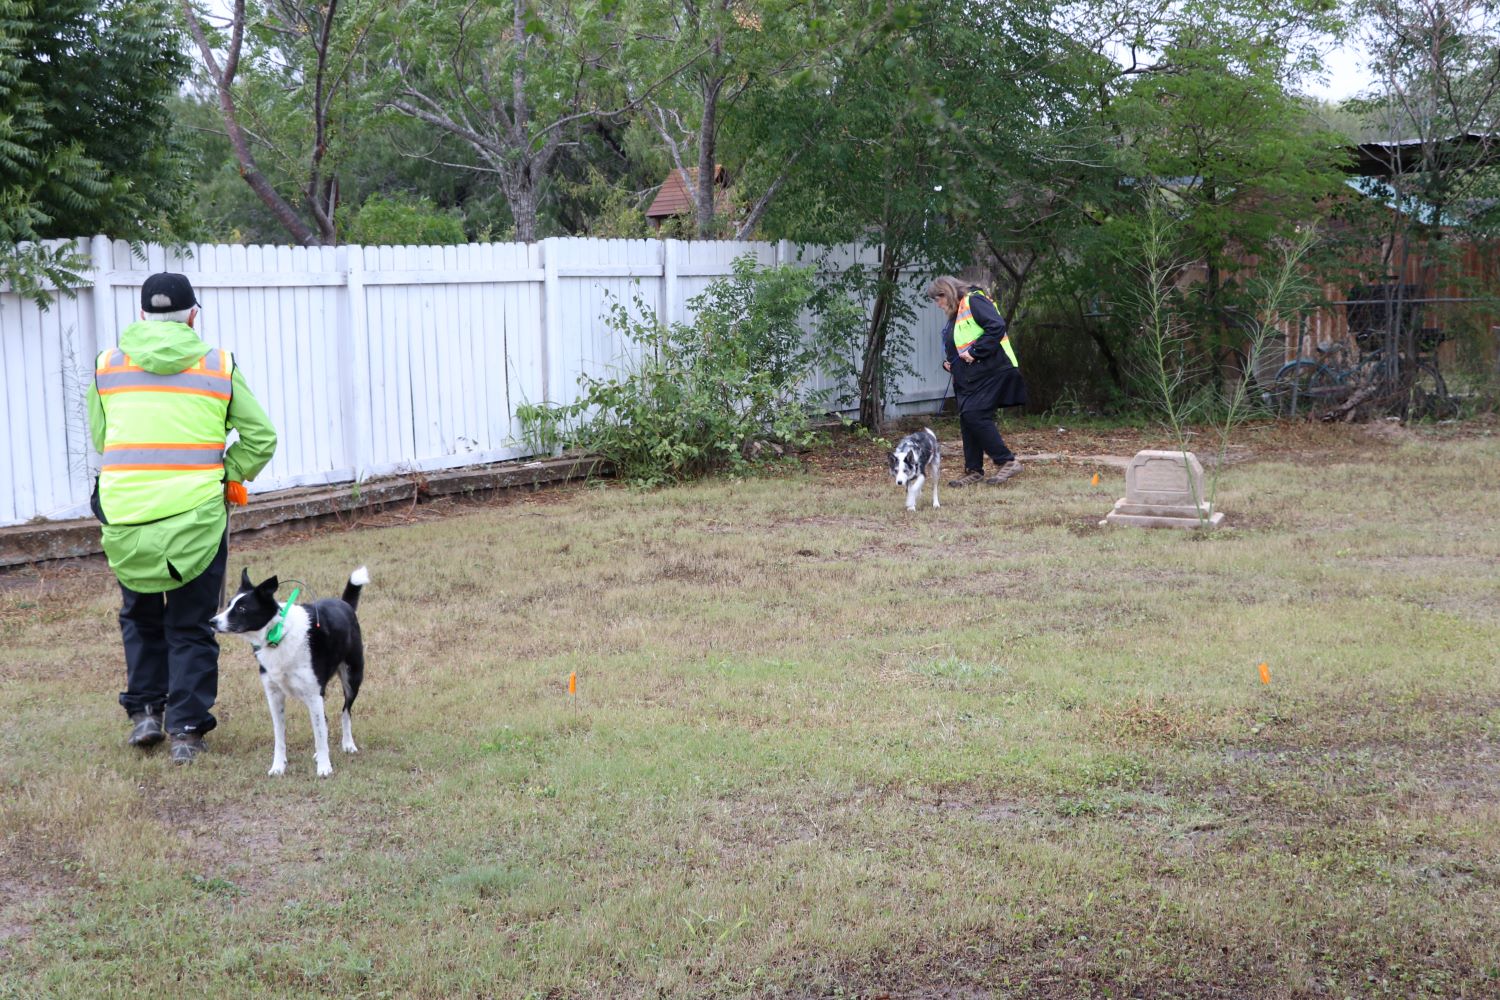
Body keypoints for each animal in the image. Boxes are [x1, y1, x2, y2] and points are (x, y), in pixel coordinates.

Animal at [211, 566, 369, 779]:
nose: (212, 621)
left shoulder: (314, 693)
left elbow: (320, 734)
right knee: (325, 720)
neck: (277, 634)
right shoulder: (275, 696)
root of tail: (344, 603)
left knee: (345, 712)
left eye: (242, 609)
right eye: (228, 605)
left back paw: (347, 744)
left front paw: (324, 767)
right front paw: (278, 766)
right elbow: (280, 737)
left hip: (352, 678)